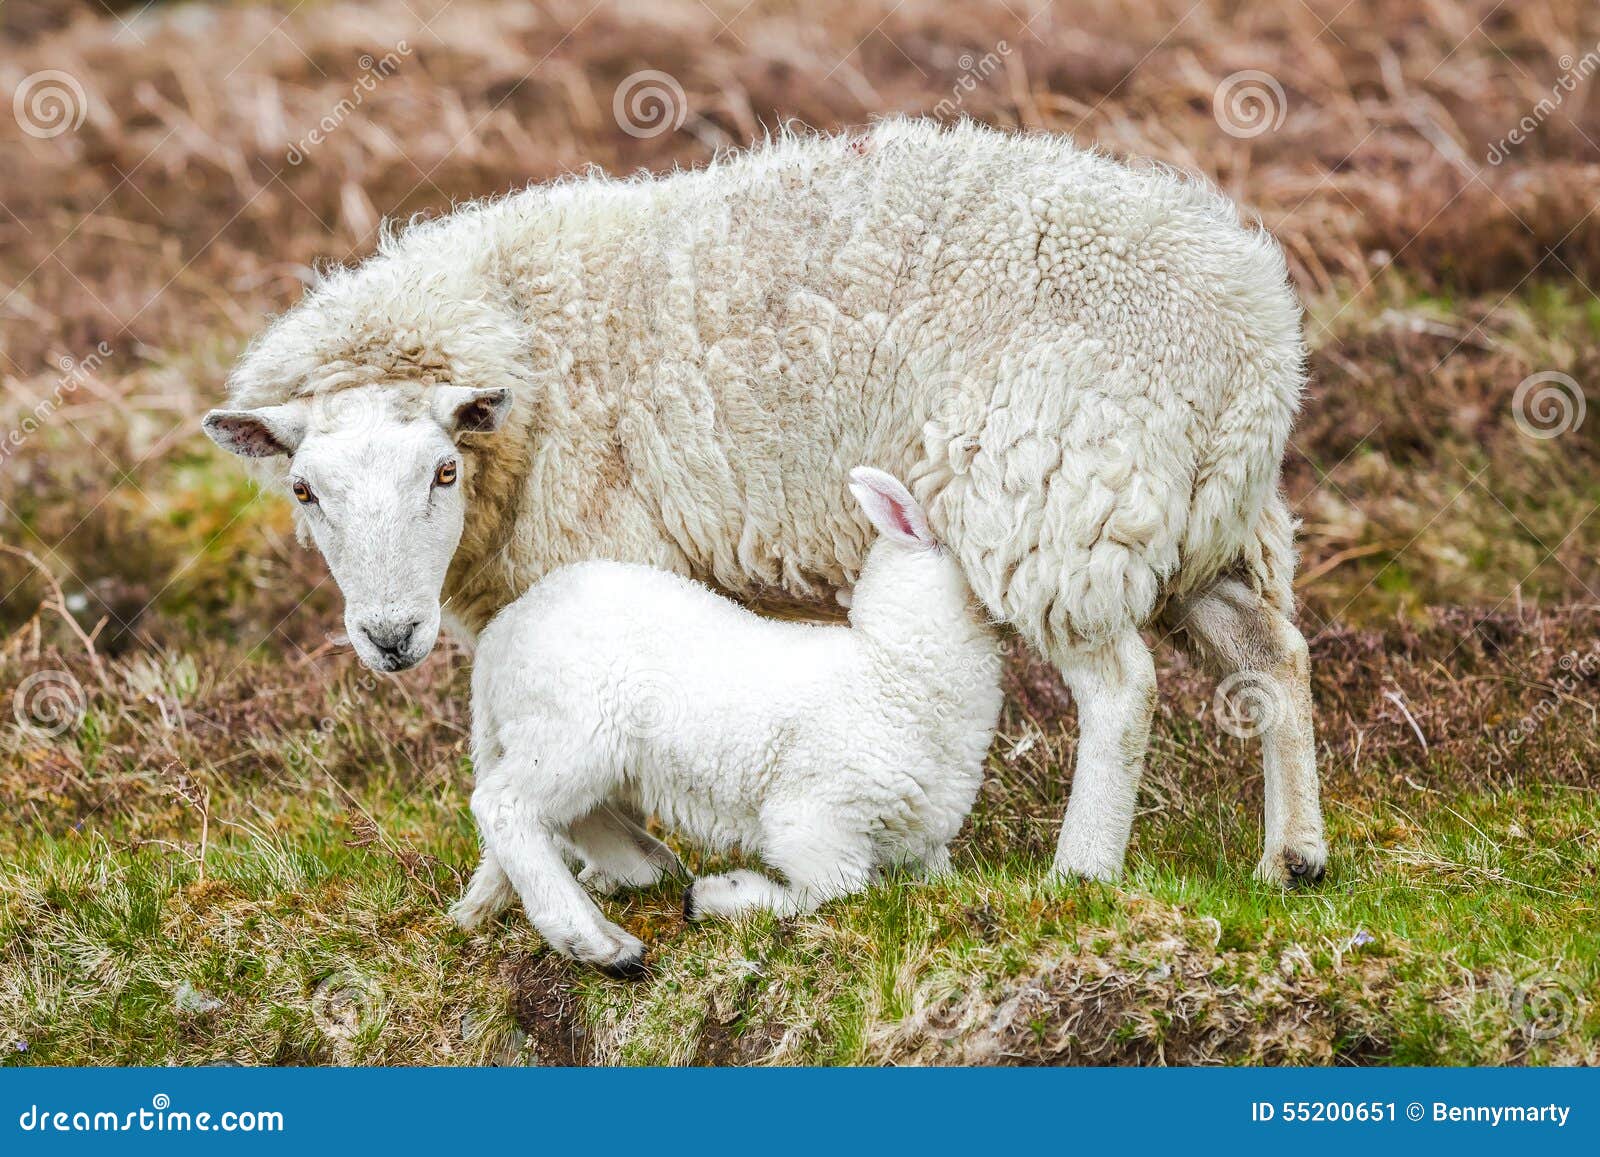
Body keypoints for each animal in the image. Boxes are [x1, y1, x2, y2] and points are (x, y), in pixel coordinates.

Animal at [201, 117, 1327, 888]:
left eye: (442, 470)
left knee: (1121, 686)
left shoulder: (606, 560)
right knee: (1273, 655)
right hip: (1201, 528)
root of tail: (1256, 334)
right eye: (305, 489)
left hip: (1056, 499)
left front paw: (601, 863)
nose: (391, 635)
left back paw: (1081, 869)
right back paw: (1294, 856)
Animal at [451, 467, 1002, 974]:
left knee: (577, 817)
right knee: (506, 808)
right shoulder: (813, 823)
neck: (891, 672)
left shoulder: (920, 843)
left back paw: (643, 872)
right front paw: (722, 898)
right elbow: (834, 894)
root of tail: (502, 636)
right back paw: (601, 944)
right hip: (571, 734)